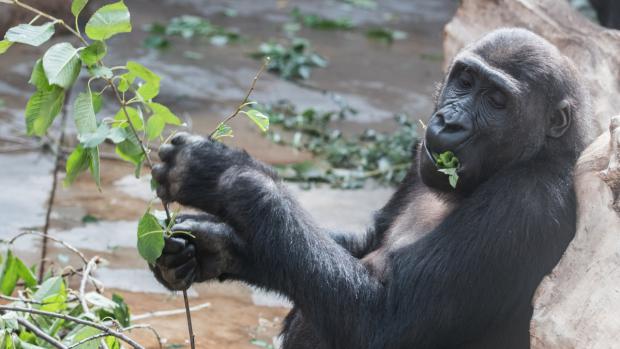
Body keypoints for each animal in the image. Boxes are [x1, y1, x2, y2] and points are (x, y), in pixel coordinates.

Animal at [148, 28, 592, 346]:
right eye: (465, 80)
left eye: (497, 100)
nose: (450, 121)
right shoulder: (417, 158)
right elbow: (362, 243)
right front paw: (210, 246)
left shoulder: (525, 204)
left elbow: (380, 321)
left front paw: (223, 174)